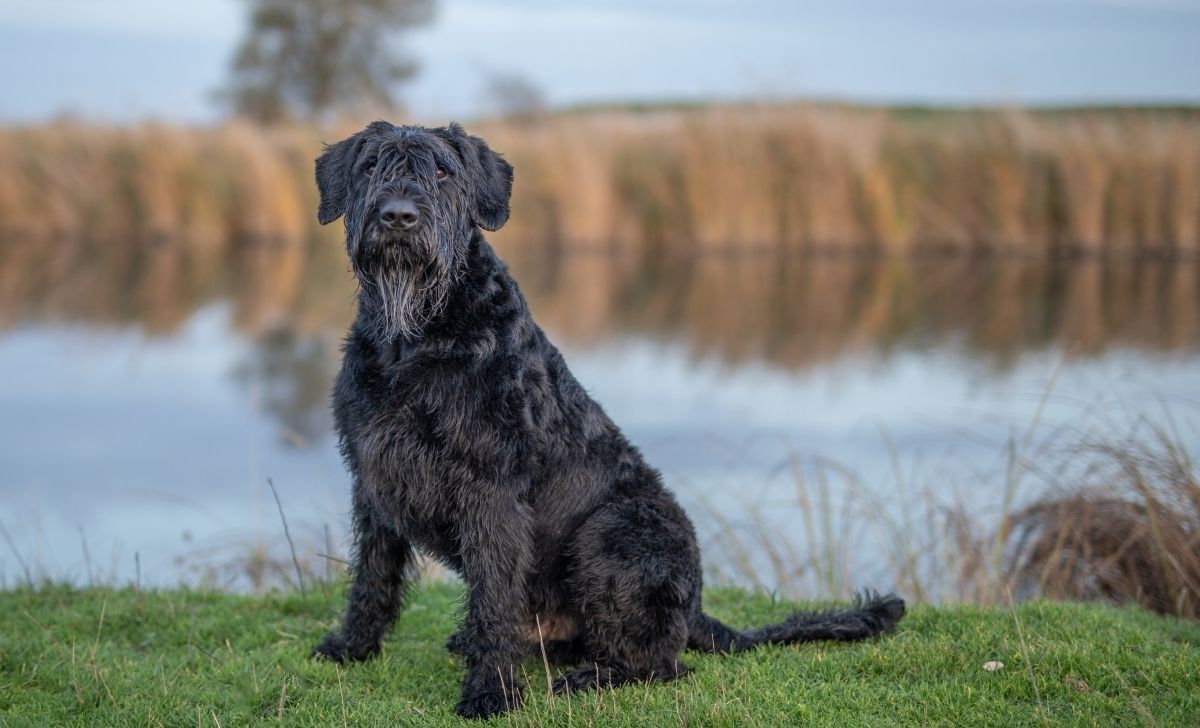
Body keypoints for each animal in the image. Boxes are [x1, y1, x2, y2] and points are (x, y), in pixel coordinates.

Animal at [314, 122, 902, 719]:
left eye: (441, 171)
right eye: (370, 166)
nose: (398, 215)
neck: (414, 338)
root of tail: (695, 607)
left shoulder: (491, 491)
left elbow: (494, 599)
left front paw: (490, 693)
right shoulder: (374, 476)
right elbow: (374, 576)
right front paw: (352, 647)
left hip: (612, 536)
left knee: (659, 663)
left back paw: (586, 678)